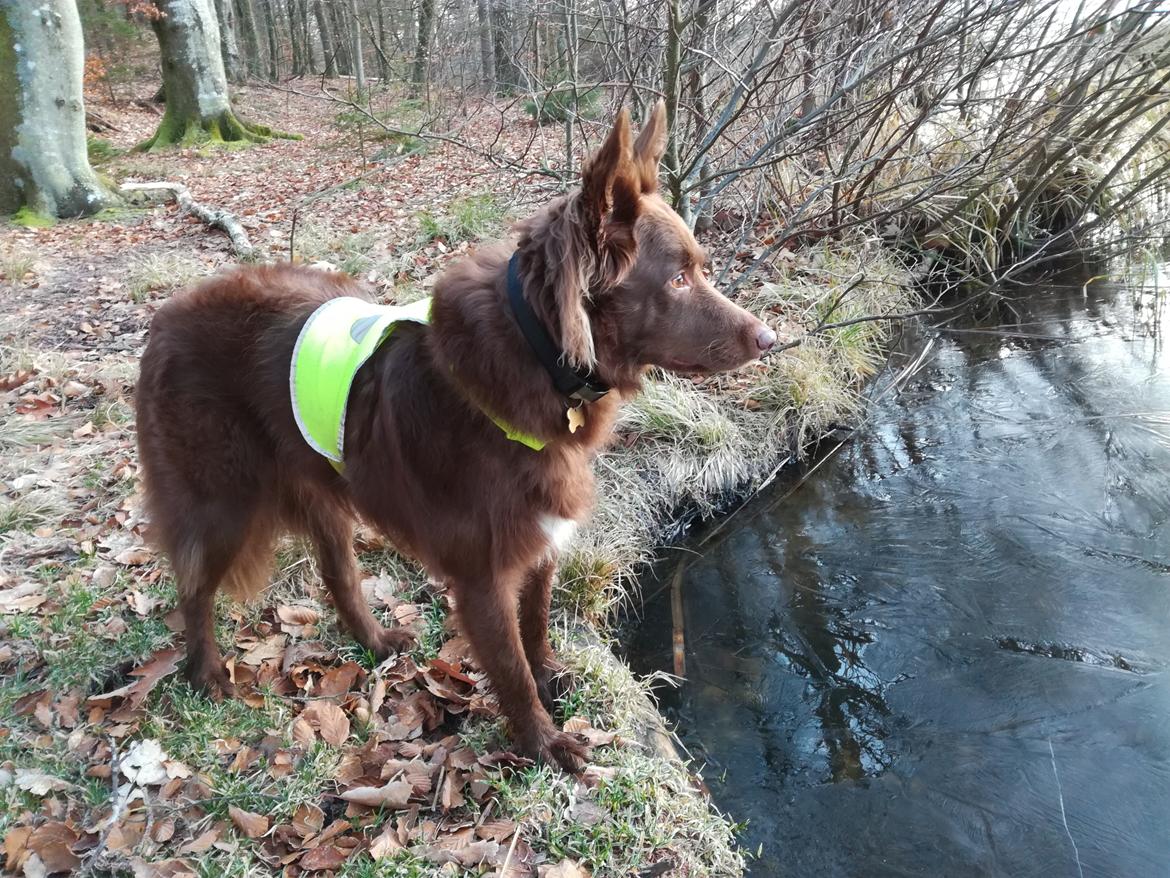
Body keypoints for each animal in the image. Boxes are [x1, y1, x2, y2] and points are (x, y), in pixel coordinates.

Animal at [134, 104, 776, 767]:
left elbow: (536, 628)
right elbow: (510, 667)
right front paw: (543, 743)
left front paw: (552, 680)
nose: (770, 339)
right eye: (677, 279)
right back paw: (205, 672)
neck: (536, 355)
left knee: (338, 578)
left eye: (699, 269)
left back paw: (375, 640)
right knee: (193, 587)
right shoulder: (481, 576)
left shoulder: (540, 544)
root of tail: (165, 316)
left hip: (322, 494)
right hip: (221, 503)